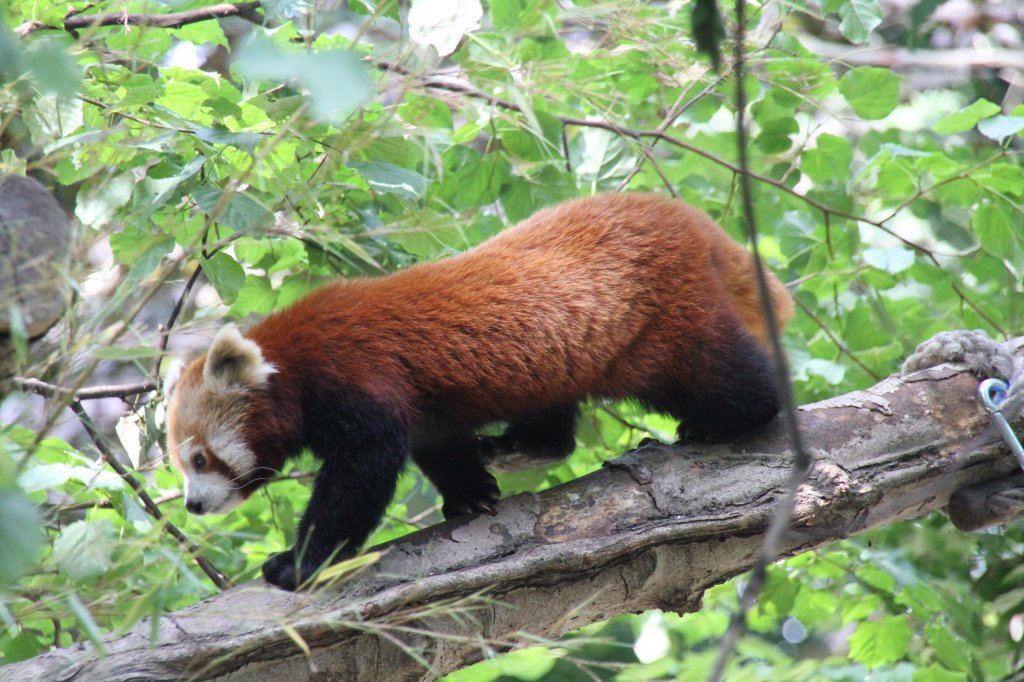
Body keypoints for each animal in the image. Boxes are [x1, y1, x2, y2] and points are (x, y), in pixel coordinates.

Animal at [163, 192, 794, 589]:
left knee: (725, 379)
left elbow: (359, 477)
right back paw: (520, 448)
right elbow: (436, 444)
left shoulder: (357, 377)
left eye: (200, 458)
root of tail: (684, 218)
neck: (293, 362)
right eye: (183, 464)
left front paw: (299, 564)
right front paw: (470, 494)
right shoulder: (420, 406)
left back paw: (727, 417)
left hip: (666, 327)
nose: (193, 506)